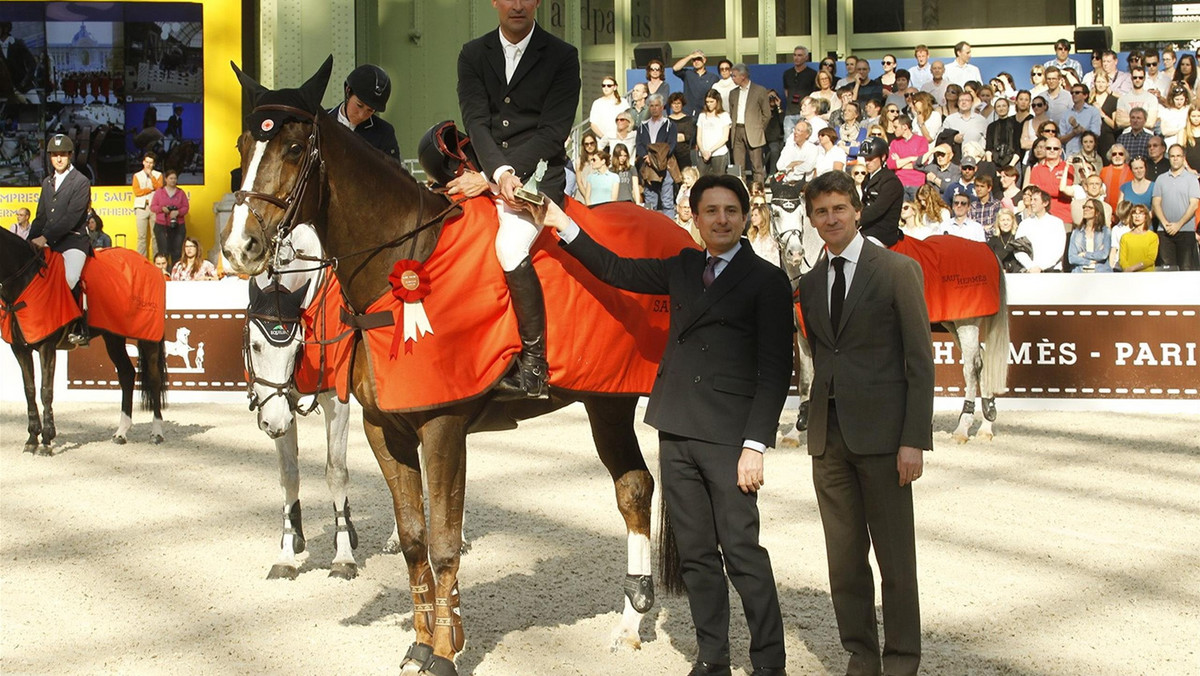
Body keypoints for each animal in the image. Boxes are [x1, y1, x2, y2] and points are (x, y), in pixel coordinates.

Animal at [1, 226, 169, 453]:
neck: (26, 279)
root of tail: (149, 264)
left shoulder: (47, 347)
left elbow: (46, 390)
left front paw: (46, 441)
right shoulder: (19, 348)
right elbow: (29, 390)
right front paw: (32, 439)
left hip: (148, 337)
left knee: (154, 378)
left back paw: (157, 433)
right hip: (113, 337)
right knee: (126, 374)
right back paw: (121, 433)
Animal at [242, 223, 355, 581]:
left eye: (297, 346)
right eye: (255, 345)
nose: (274, 422)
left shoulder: (337, 401)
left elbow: (336, 472)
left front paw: (343, 556)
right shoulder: (281, 403)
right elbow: (289, 475)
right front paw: (288, 551)